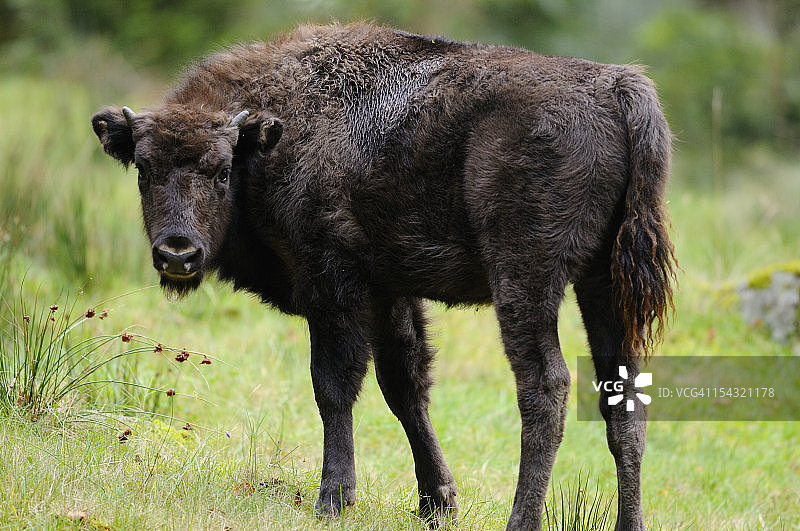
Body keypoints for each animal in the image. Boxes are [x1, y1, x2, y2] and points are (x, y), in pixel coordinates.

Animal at [92, 22, 676, 530]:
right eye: (144, 169)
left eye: (220, 171)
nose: (178, 254)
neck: (271, 134)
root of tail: (616, 87)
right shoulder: (390, 291)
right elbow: (404, 386)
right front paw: (437, 502)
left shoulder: (332, 280)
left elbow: (334, 383)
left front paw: (333, 500)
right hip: (604, 286)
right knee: (623, 400)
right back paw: (629, 524)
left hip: (526, 280)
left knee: (545, 388)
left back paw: (521, 520)